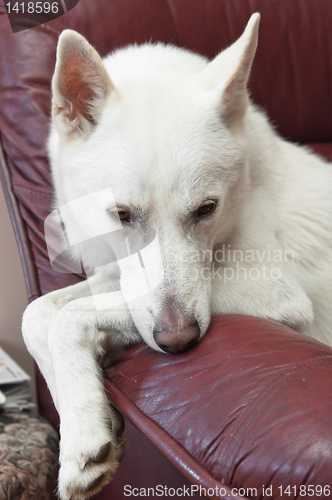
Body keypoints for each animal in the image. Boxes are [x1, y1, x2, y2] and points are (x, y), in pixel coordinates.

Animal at [22, 14, 332, 500]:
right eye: (122, 214)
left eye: (206, 209)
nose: (178, 342)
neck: (249, 184)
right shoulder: (119, 279)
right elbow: (37, 313)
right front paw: (85, 417)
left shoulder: (271, 290)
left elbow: (68, 318)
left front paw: (82, 436)